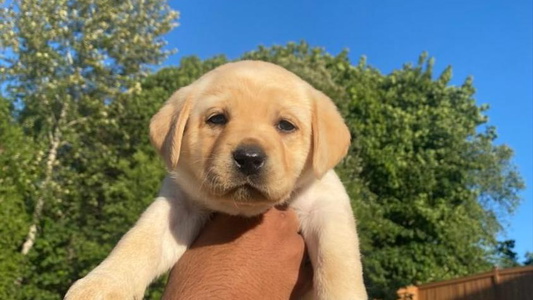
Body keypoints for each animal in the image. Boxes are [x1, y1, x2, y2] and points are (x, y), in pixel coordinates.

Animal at [65, 61, 366, 300]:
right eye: (217, 119)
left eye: (286, 125)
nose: (249, 158)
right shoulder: (180, 203)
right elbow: (140, 239)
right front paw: (102, 285)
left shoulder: (327, 207)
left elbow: (338, 266)